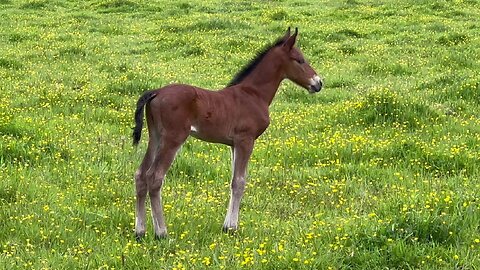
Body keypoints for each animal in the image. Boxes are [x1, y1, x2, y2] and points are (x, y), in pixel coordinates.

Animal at [133, 27, 324, 238]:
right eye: (300, 60)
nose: (318, 83)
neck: (253, 94)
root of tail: (156, 92)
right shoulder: (246, 140)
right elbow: (239, 182)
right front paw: (231, 228)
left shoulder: (233, 144)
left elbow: (233, 181)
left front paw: (227, 225)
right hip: (173, 139)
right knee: (155, 177)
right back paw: (161, 232)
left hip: (155, 137)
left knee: (140, 175)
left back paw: (140, 231)